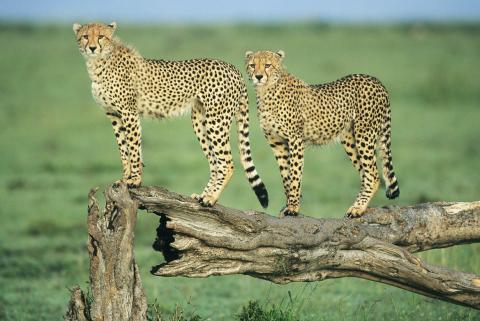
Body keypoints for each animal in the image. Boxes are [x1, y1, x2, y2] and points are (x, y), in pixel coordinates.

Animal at [73, 22, 268, 208]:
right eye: (85, 36)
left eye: (101, 36)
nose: (92, 48)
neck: (99, 62)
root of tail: (234, 69)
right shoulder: (113, 114)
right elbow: (124, 148)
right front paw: (124, 178)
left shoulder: (129, 113)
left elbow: (133, 148)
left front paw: (134, 181)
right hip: (200, 121)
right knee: (215, 163)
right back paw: (203, 196)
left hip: (216, 121)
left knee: (226, 162)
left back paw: (210, 199)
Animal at [246, 49, 400, 218]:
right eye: (252, 65)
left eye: (267, 65)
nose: (258, 76)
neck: (267, 90)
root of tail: (376, 80)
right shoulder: (277, 142)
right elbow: (286, 175)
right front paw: (287, 205)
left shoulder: (295, 139)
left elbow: (295, 175)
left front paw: (293, 207)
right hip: (350, 139)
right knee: (365, 174)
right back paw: (359, 205)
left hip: (364, 134)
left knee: (373, 174)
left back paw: (358, 208)